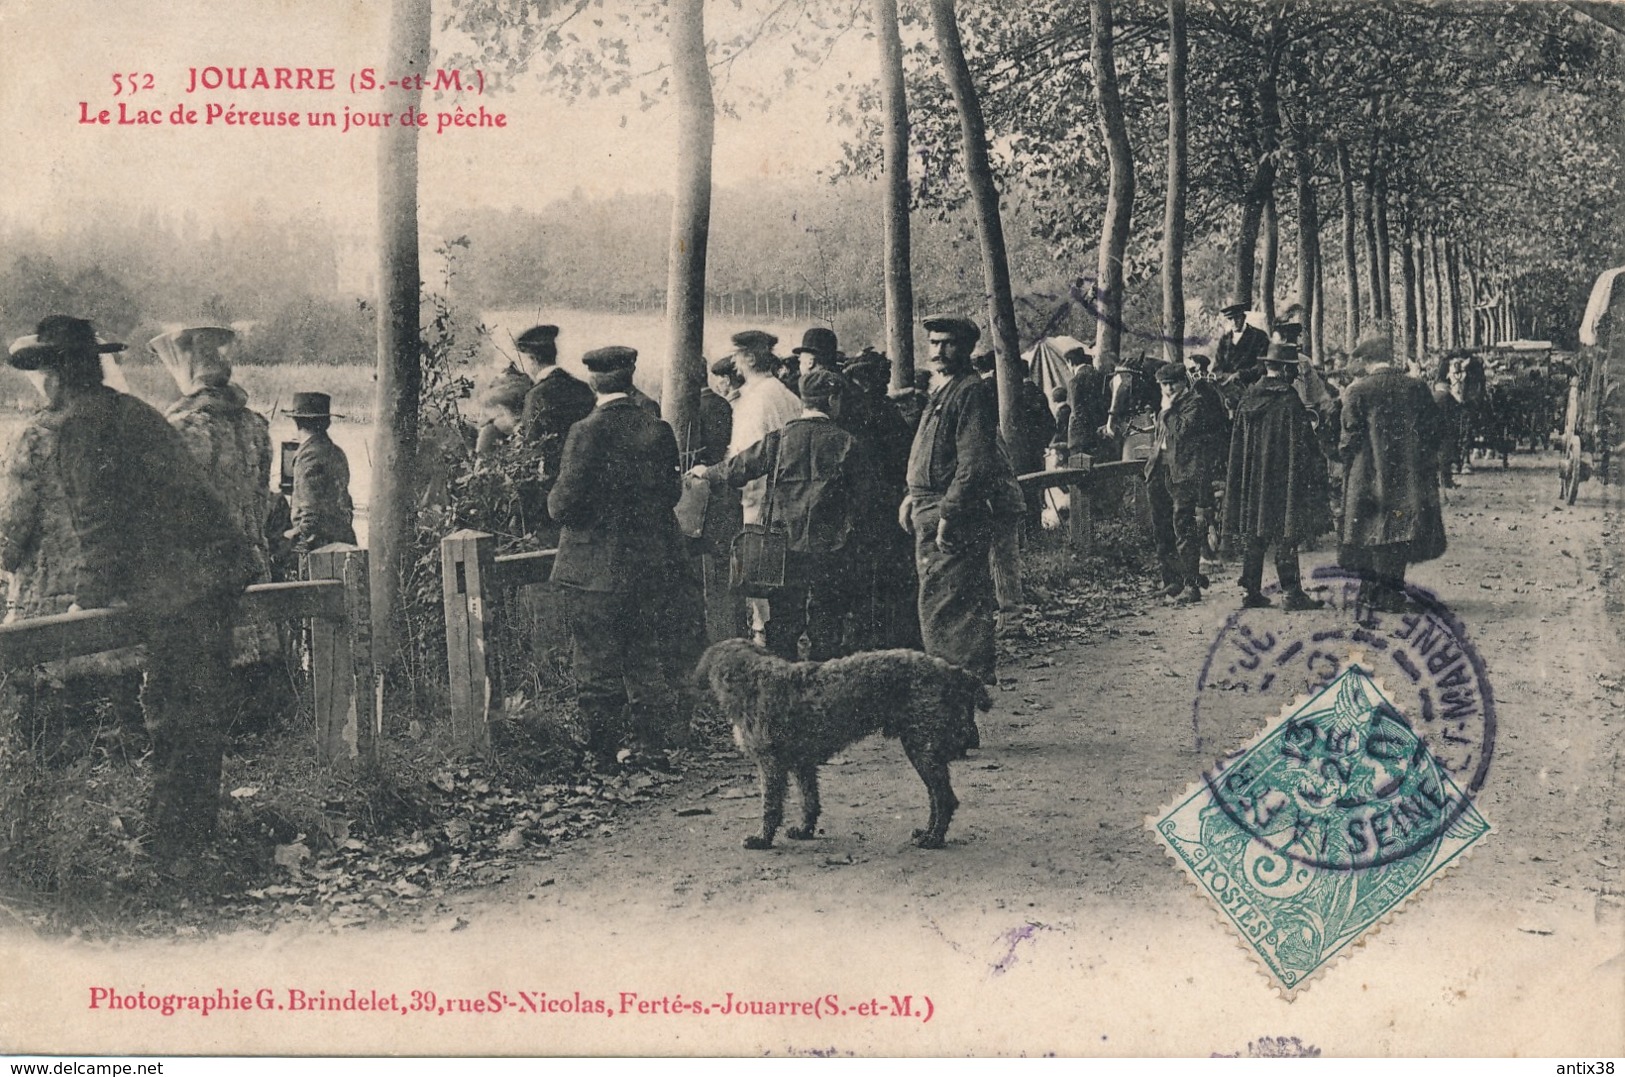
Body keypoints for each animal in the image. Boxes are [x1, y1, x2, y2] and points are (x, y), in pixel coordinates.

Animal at [689, 640, 988, 851]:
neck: (753, 680)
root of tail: (949, 670)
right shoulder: (802, 764)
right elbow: (809, 802)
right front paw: (805, 831)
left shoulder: (771, 765)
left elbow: (771, 807)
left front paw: (762, 839)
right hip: (923, 750)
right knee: (935, 797)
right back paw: (926, 832)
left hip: (921, 750)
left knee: (944, 798)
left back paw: (933, 839)